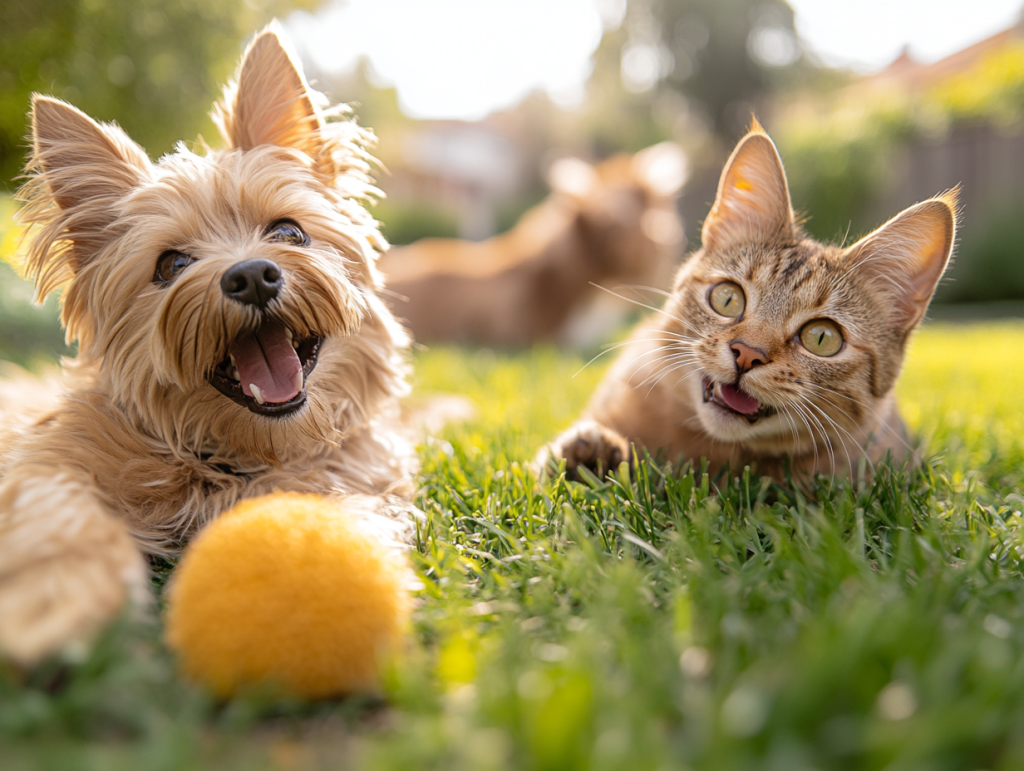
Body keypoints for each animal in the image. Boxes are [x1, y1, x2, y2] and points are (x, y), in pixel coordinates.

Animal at [0, 24, 419, 663]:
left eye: (289, 231)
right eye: (171, 264)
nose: (252, 276)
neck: (233, 458)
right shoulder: (43, 459)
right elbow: (55, 506)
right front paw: (60, 601)